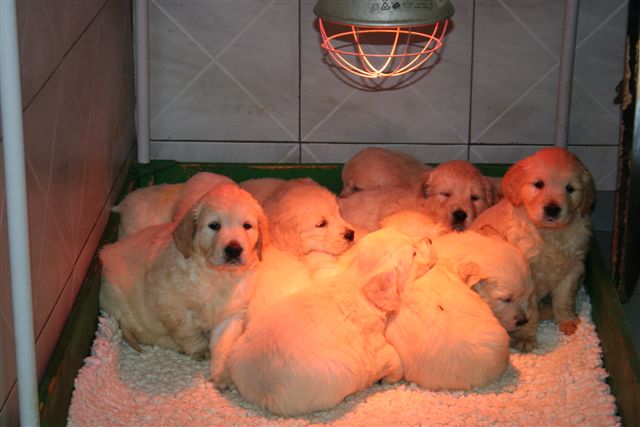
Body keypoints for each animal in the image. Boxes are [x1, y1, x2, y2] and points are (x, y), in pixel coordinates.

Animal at [99, 182, 268, 386]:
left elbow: (223, 346)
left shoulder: (231, 315)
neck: (216, 275)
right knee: (145, 333)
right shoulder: (173, 306)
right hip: (123, 306)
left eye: (247, 226)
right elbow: (187, 331)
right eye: (214, 225)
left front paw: (222, 374)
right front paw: (200, 349)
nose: (234, 249)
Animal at [226, 229, 436, 416]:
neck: (359, 285)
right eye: (413, 253)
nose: (430, 239)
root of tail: (257, 388)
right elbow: (395, 360)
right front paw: (387, 379)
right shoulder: (375, 348)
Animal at [470, 147, 596, 352]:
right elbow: (530, 311)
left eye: (570, 189)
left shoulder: (573, 268)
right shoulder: (531, 277)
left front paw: (567, 320)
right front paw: (525, 337)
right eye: (539, 184)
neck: (550, 234)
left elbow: (565, 298)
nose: (552, 209)